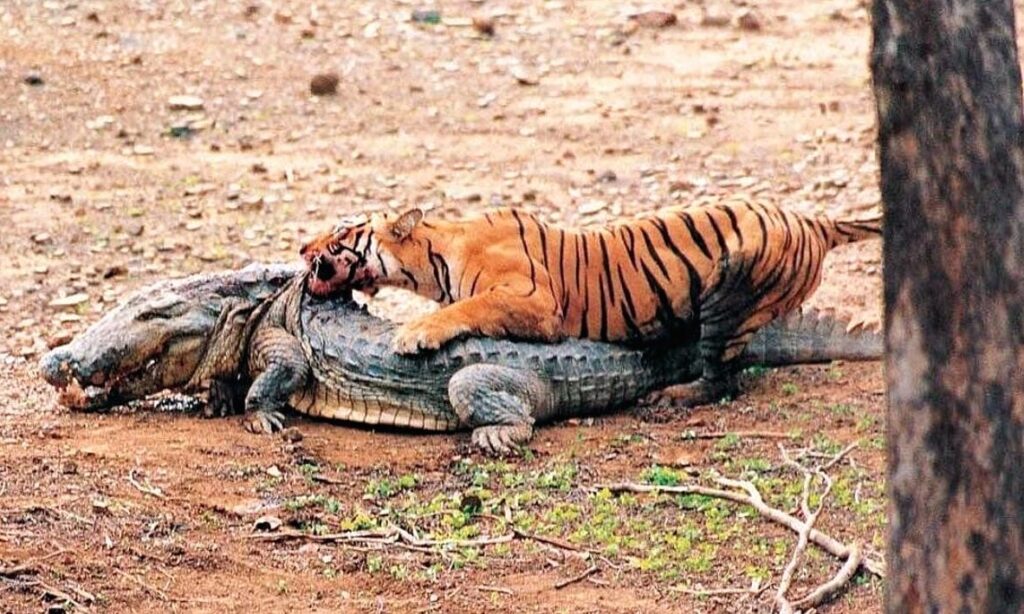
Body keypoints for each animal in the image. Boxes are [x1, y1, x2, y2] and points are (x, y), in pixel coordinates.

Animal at [299, 199, 881, 406]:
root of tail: (814, 220)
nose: (303, 250)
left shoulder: (536, 301)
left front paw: (414, 333)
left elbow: (465, 309)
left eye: (341, 233)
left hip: (731, 291)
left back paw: (672, 398)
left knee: (723, 378)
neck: (434, 255)